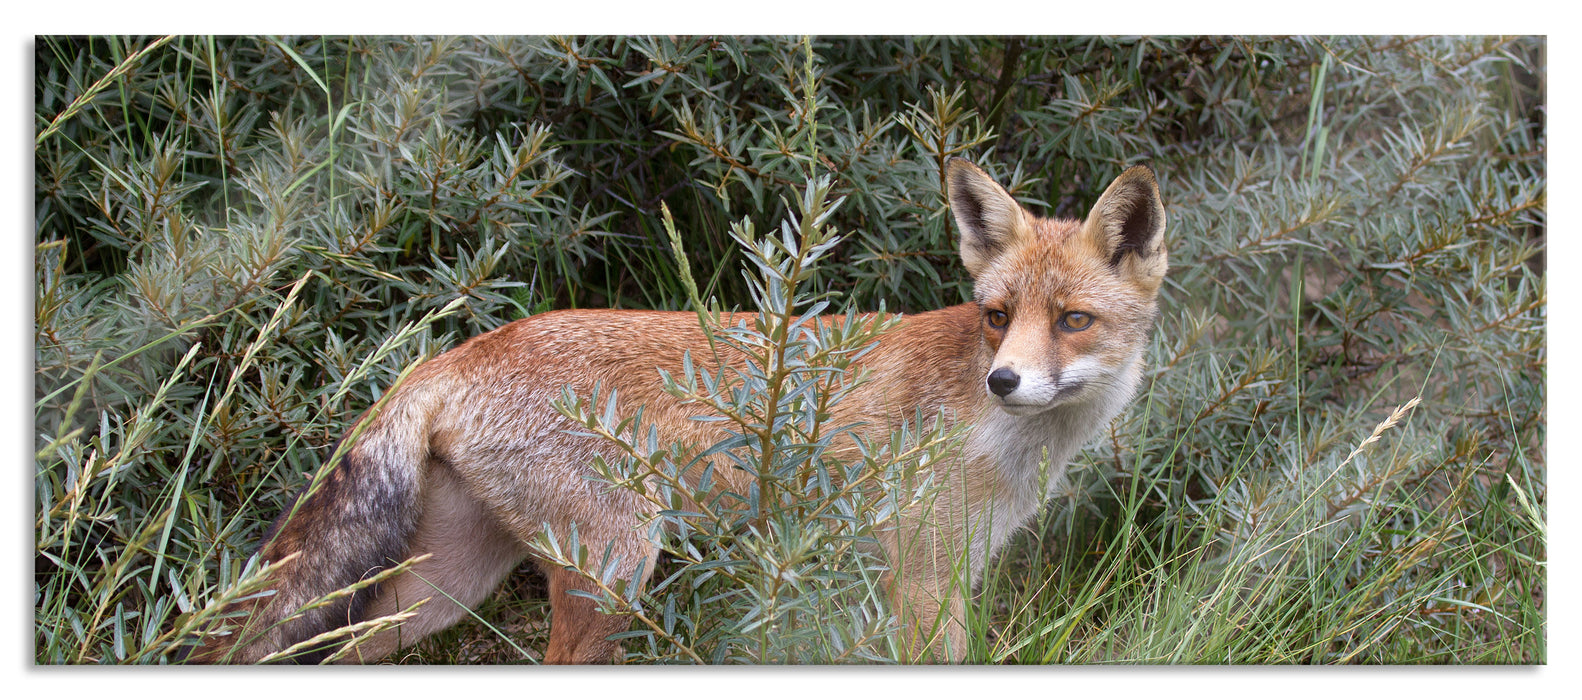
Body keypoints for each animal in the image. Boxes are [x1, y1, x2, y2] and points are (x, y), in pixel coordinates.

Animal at [185, 159, 1170, 668]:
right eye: (997, 316)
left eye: (1073, 321)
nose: (1005, 380)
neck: (1003, 439)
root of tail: (459, 351)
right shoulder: (923, 578)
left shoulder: (936, 574)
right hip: (615, 569)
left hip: (446, 585)